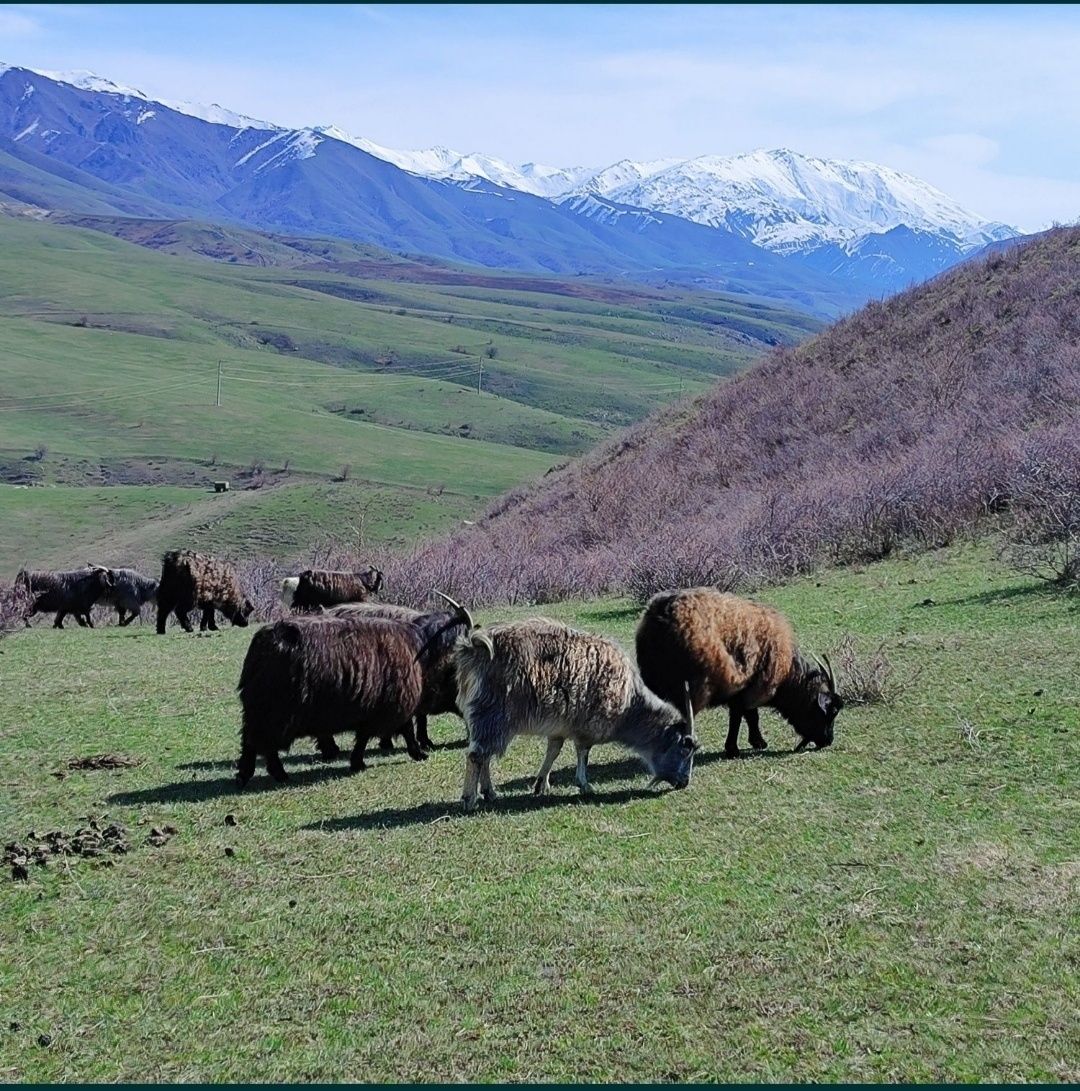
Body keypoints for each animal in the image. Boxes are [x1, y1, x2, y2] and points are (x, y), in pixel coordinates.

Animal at [238, 589, 475, 785]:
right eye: (457, 674)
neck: (420, 651)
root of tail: (264, 642)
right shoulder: (392, 702)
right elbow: (398, 730)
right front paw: (417, 752)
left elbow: (373, 734)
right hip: (274, 712)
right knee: (261, 743)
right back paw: (276, 773)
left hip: (259, 710)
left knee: (251, 741)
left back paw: (248, 774)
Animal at [449, 624, 698, 811]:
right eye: (684, 748)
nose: (684, 782)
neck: (629, 702)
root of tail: (474, 648)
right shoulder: (587, 726)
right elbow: (583, 753)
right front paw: (585, 785)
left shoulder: (558, 728)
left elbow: (553, 751)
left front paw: (541, 784)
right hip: (493, 714)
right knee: (477, 755)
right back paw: (470, 799)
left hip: (486, 720)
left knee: (485, 755)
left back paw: (490, 792)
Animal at [632, 589, 846, 759]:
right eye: (831, 711)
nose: (828, 741)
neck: (787, 675)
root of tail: (659, 617)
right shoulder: (746, 688)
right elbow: (742, 717)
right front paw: (736, 748)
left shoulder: (743, 690)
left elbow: (748, 716)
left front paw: (755, 742)